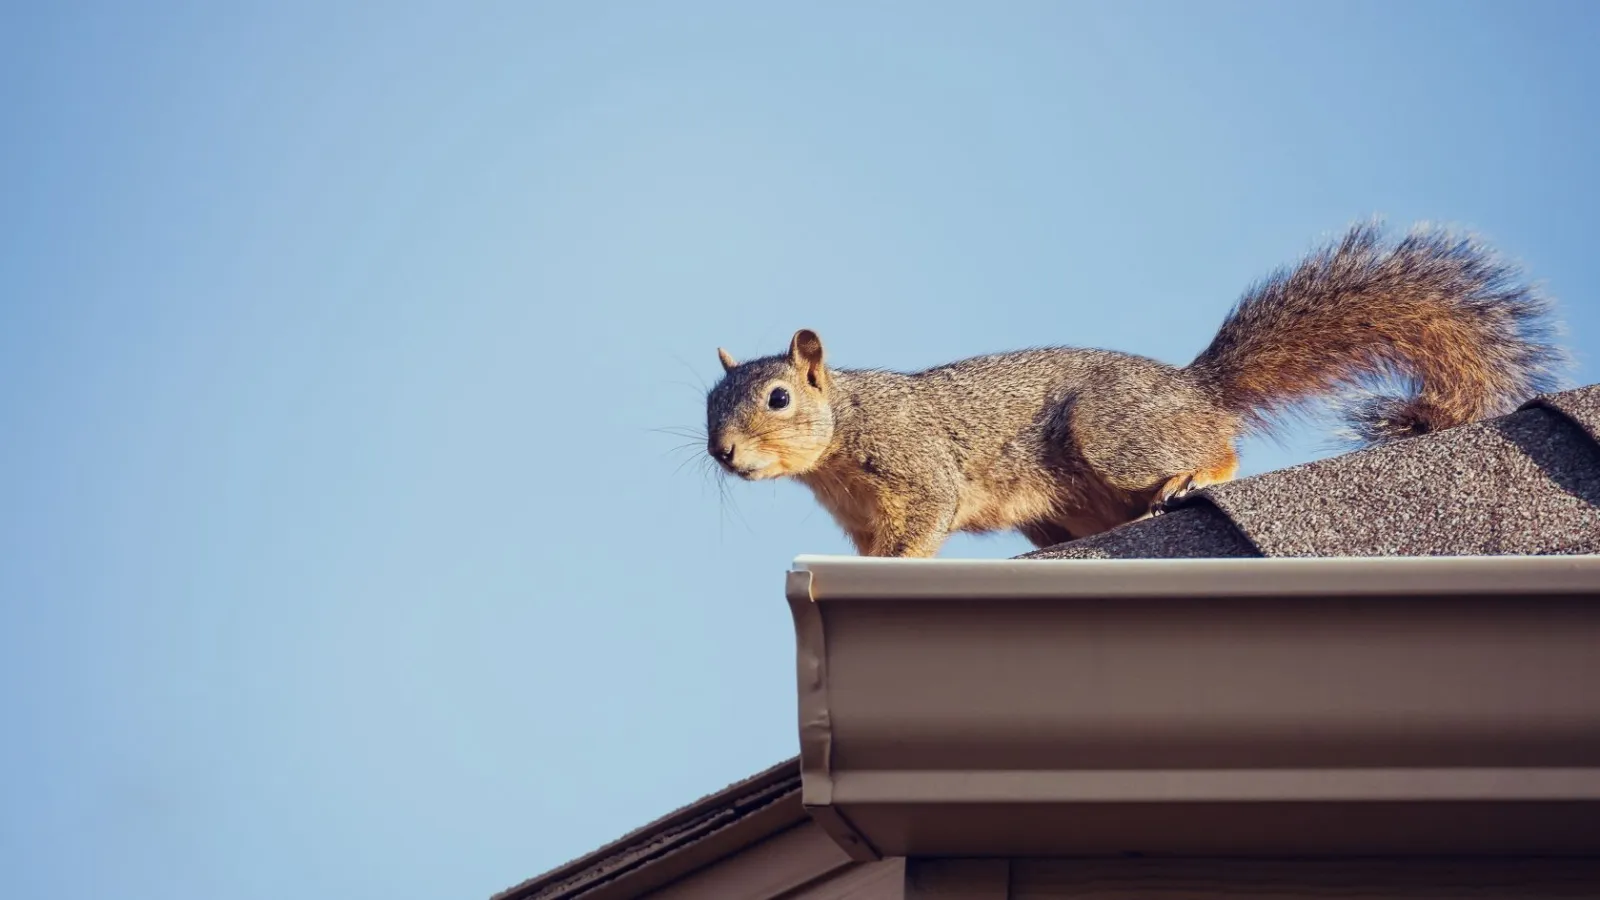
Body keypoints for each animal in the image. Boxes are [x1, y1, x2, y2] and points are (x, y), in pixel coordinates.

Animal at [700, 220, 1561, 554]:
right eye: (707, 404)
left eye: (778, 398)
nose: (722, 453)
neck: (841, 433)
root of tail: (1194, 388)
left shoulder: (916, 465)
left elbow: (923, 522)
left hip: (1114, 434)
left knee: (1219, 449)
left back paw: (1193, 475)